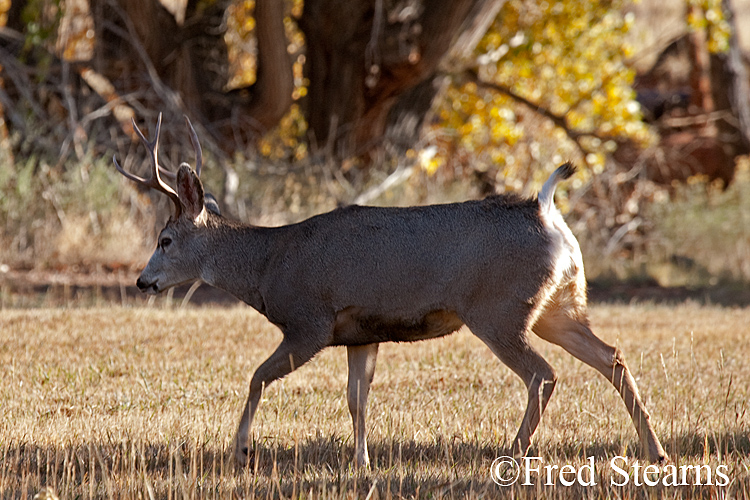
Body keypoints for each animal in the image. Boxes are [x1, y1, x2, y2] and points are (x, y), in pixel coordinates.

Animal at [116, 115, 668, 466]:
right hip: (559, 305)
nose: (143, 281)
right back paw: (655, 450)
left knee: (543, 374)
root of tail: (547, 211)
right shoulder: (362, 333)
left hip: (499, 309)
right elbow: (356, 399)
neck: (268, 264)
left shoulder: (310, 321)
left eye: (165, 240)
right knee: (611, 356)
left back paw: (512, 453)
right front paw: (361, 460)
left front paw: (240, 450)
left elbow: (256, 378)